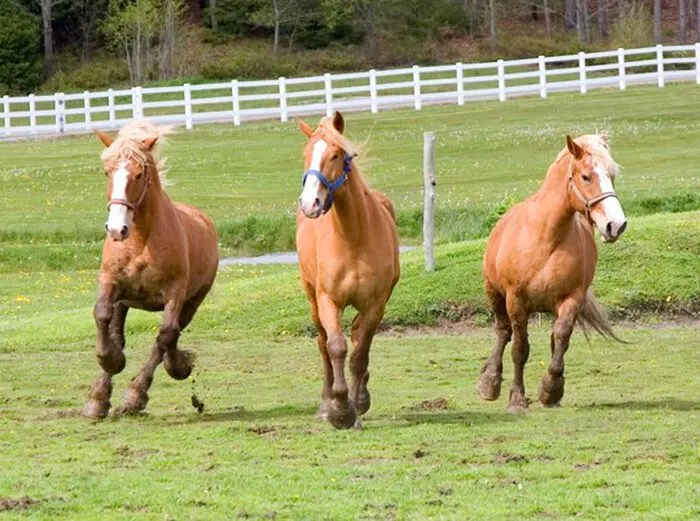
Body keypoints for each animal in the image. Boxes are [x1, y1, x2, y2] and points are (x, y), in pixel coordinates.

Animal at [83, 121, 219, 418]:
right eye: (107, 171)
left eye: (138, 173)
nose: (116, 229)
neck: (140, 241)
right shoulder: (111, 283)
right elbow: (102, 316)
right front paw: (110, 363)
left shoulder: (175, 293)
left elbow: (165, 334)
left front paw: (177, 367)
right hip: (125, 302)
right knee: (119, 334)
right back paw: (99, 397)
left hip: (192, 302)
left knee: (167, 337)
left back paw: (140, 392)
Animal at [294, 111, 400, 428]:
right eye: (306, 154)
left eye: (336, 155)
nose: (310, 203)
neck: (353, 238)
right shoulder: (329, 301)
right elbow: (336, 347)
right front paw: (339, 409)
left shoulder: (375, 304)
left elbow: (359, 354)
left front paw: (355, 405)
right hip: (312, 299)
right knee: (323, 342)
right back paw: (325, 401)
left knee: (356, 337)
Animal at [478, 134, 628, 414]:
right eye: (586, 176)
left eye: (612, 175)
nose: (616, 225)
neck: (546, 238)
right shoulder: (516, 301)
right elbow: (519, 348)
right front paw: (516, 398)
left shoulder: (572, 300)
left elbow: (561, 339)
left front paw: (550, 390)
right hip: (494, 292)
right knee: (503, 331)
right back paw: (489, 382)